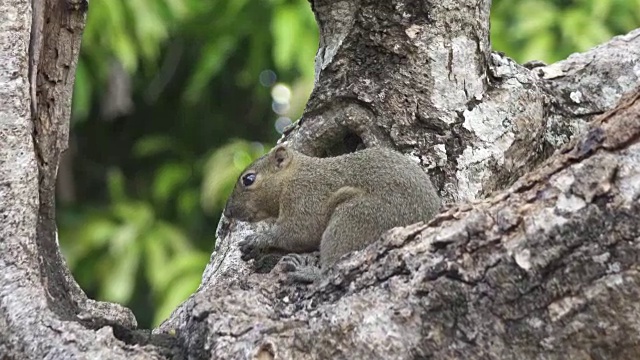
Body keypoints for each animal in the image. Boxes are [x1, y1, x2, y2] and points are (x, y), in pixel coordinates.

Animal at [224, 145, 440, 282]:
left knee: (333, 265)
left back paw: (308, 272)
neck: (291, 177)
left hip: (358, 218)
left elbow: (298, 233)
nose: (227, 211)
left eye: (248, 179)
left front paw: (258, 239)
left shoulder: (305, 196)